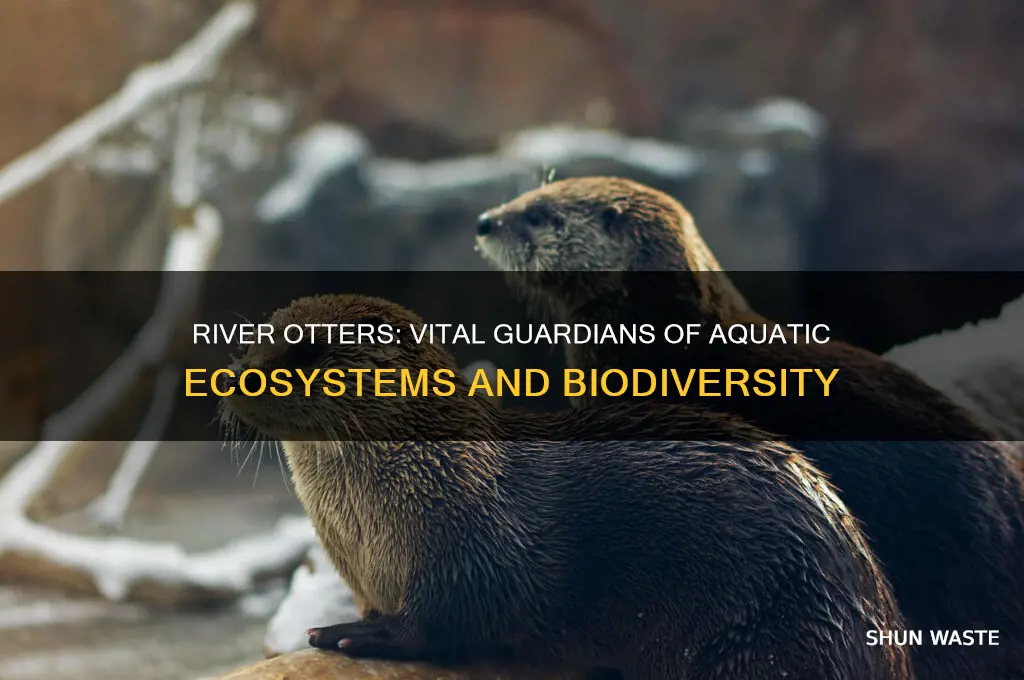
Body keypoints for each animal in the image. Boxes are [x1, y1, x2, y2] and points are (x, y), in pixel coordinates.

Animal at [219, 294, 912, 680]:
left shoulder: (479, 539)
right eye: (255, 336)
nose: (237, 374)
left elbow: (459, 614)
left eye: (307, 350)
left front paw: (356, 635)